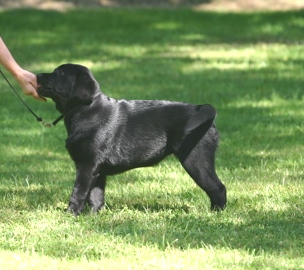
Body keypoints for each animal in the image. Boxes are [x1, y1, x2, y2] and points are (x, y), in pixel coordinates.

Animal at [36, 63, 226, 215]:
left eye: (60, 73)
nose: (37, 75)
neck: (85, 109)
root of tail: (200, 108)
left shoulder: (86, 165)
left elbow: (78, 192)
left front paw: (70, 214)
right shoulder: (97, 170)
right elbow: (96, 195)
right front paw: (94, 215)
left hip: (195, 159)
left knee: (218, 188)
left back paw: (216, 214)